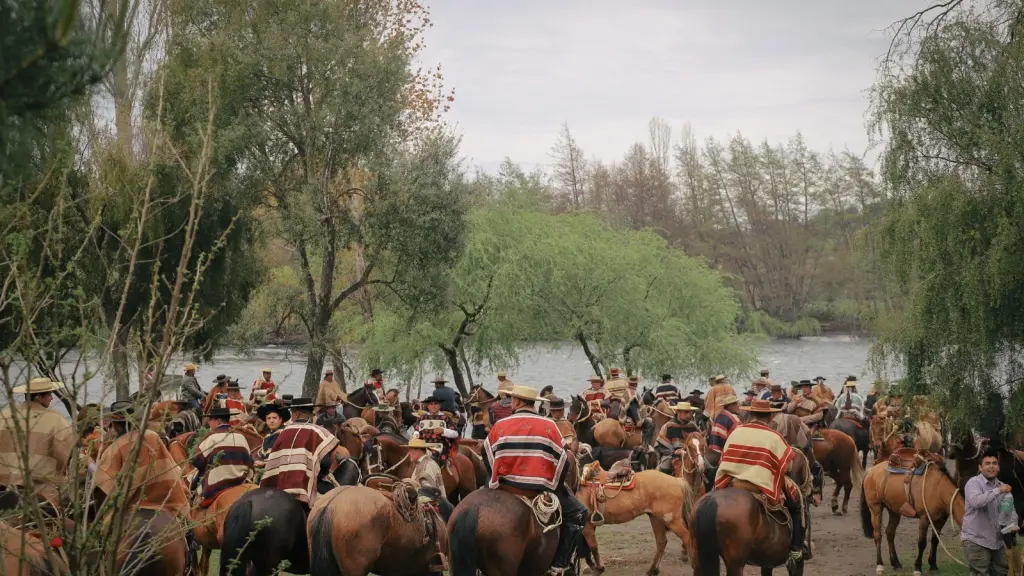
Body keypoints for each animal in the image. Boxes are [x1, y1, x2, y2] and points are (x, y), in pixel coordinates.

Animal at [577, 430, 704, 573]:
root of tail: (677, 481)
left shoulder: (586, 526)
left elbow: (592, 546)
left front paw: (598, 568)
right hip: (656, 518)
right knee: (662, 541)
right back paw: (652, 570)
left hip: (672, 520)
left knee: (686, 538)